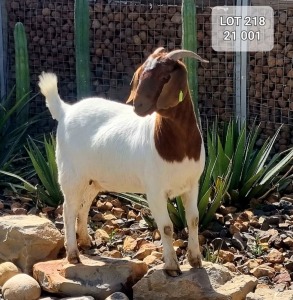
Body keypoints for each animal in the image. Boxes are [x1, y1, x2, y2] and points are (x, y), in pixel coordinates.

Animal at [38, 47, 208, 276]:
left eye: (165, 77)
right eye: (141, 74)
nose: (138, 106)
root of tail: (66, 111)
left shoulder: (192, 184)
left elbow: (194, 220)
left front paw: (195, 259)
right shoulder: (155, 190)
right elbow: (166, 227)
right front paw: (172, 266)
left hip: (93, 179)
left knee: (84, 205)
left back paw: (86, 242)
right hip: (70, 174)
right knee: (68, 209)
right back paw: (73, 254)